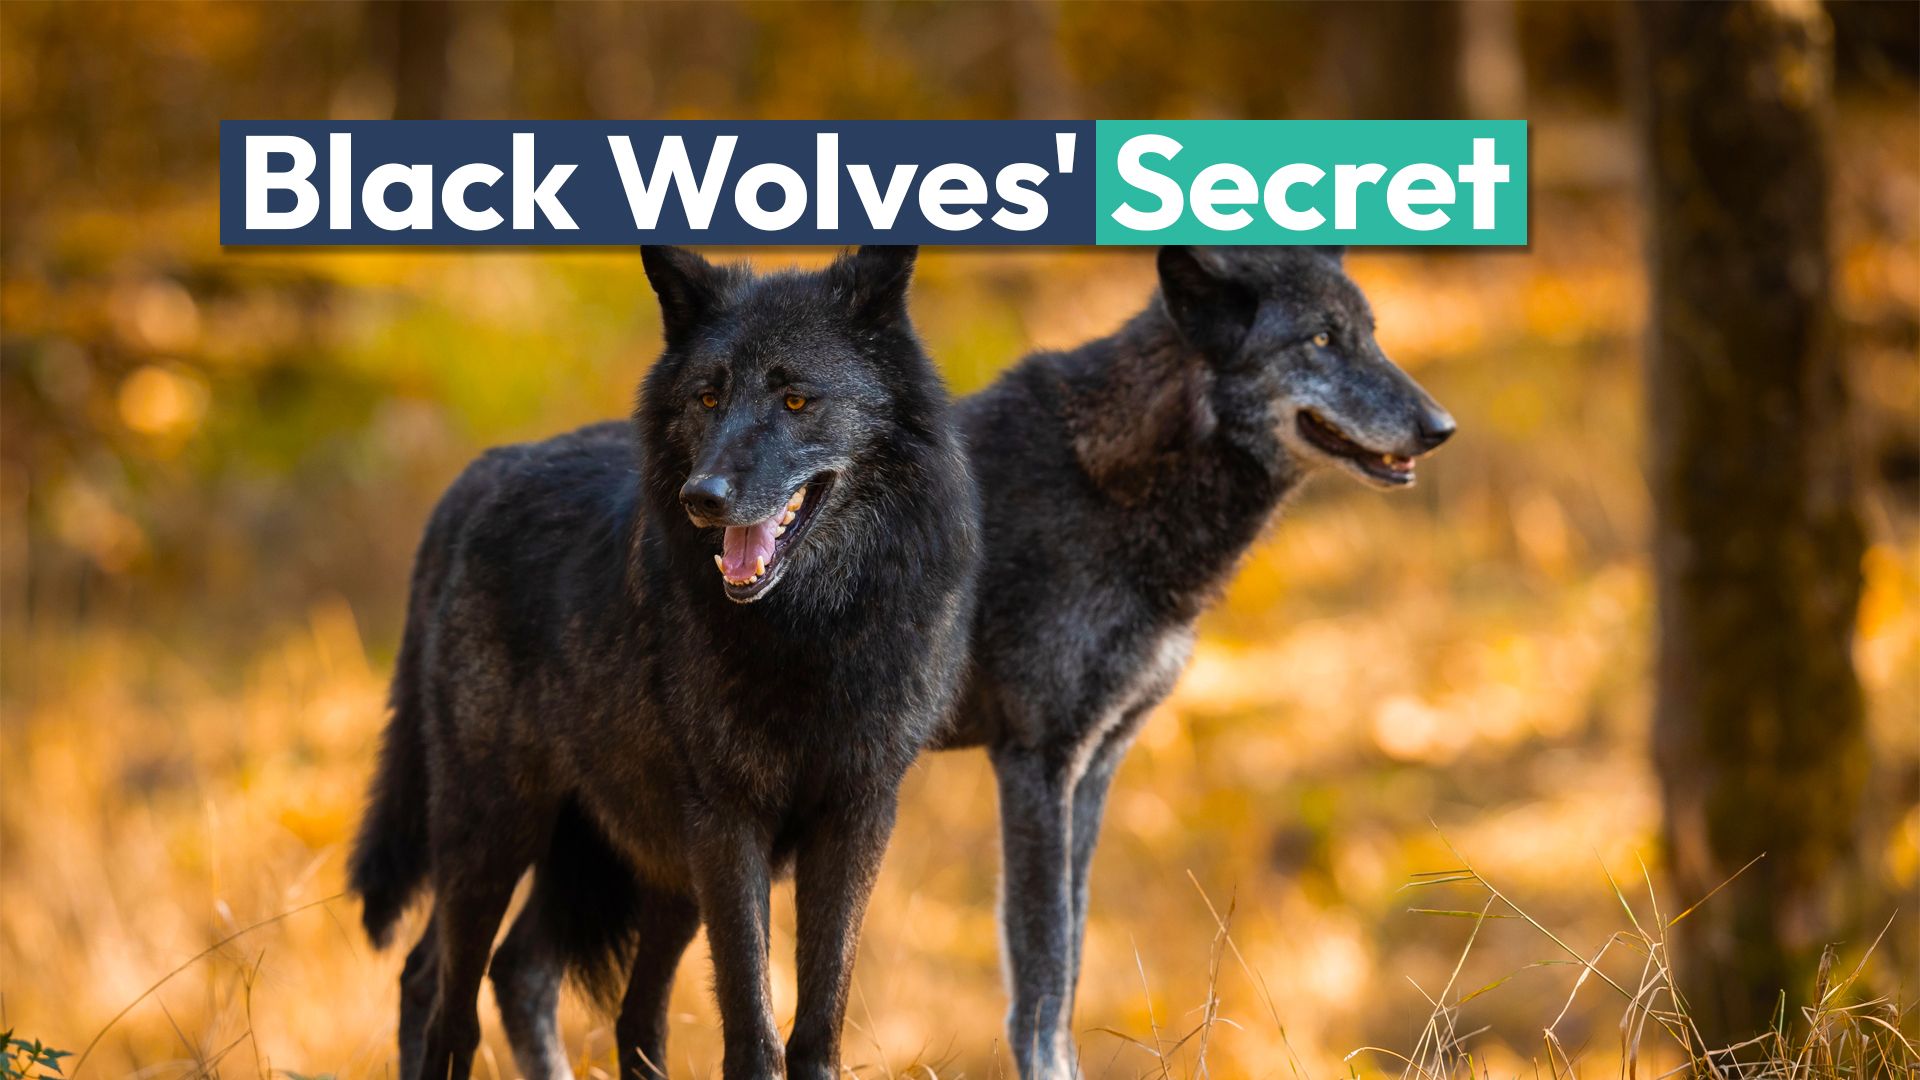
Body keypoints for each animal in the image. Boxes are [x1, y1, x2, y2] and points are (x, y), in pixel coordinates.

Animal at [346, 244, 980, 1080]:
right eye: (708, 397)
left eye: (796, 401)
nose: (702, 496)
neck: (810, 632)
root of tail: (476, 478)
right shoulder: (727, 825)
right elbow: (752, 1026)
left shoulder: (857, 817)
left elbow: (818, 1022)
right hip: (499, 828)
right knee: (448, 994)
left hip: (645, 871)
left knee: (552, 986)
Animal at [460, 245, 1453, 1079]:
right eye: (1321, 340)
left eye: (1370, 334)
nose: (1438, 426)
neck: (1106, 484)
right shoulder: (1035, 763)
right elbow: (1040, 978)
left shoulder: (1095, 767)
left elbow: (1069, 962)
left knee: (522, 967)